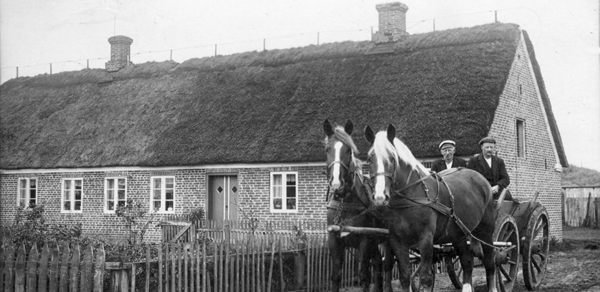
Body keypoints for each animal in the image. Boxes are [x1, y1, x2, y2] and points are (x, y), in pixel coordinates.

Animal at [324, 119, 394, 292]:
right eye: (327, 149)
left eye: (348, 150)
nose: (337, 183)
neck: (346, 202)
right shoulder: (334, 240)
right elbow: (336, 276)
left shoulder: (364, 241)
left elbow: (364, 276)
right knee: (378, 264)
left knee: (388, 266)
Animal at [366, 124, 496, 292]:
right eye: (369, 158)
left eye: (392, 158)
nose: (380, 197)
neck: (411, 195)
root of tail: (480, 178)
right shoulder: (397, 240)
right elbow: (405, 277)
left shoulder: (426, 239)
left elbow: (426, 278)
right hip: (459, 234)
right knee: (467, 262)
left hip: (486, 231)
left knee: (490, 263)